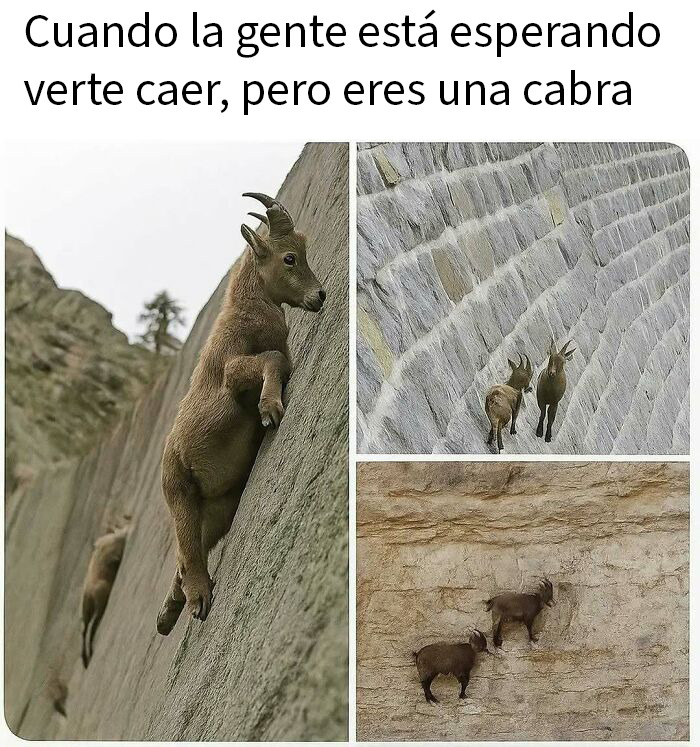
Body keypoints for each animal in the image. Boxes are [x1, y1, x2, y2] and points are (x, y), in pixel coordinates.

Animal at [81, 526, 128, 667]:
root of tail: (88, 592)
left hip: (86, 609)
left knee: (85, 629)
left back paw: (86, 658)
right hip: (99, 604)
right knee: (91, 627)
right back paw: (88, 654)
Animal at [156, 193, 325, 635]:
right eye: (289, 257)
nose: (320, 296)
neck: (246, 310)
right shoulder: (233, 373)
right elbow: (270, 360)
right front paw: (270, 409)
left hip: (218, 507)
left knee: (187, 556)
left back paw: (168, 614)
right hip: (180, 491)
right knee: (188, 552)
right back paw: (197, 600)